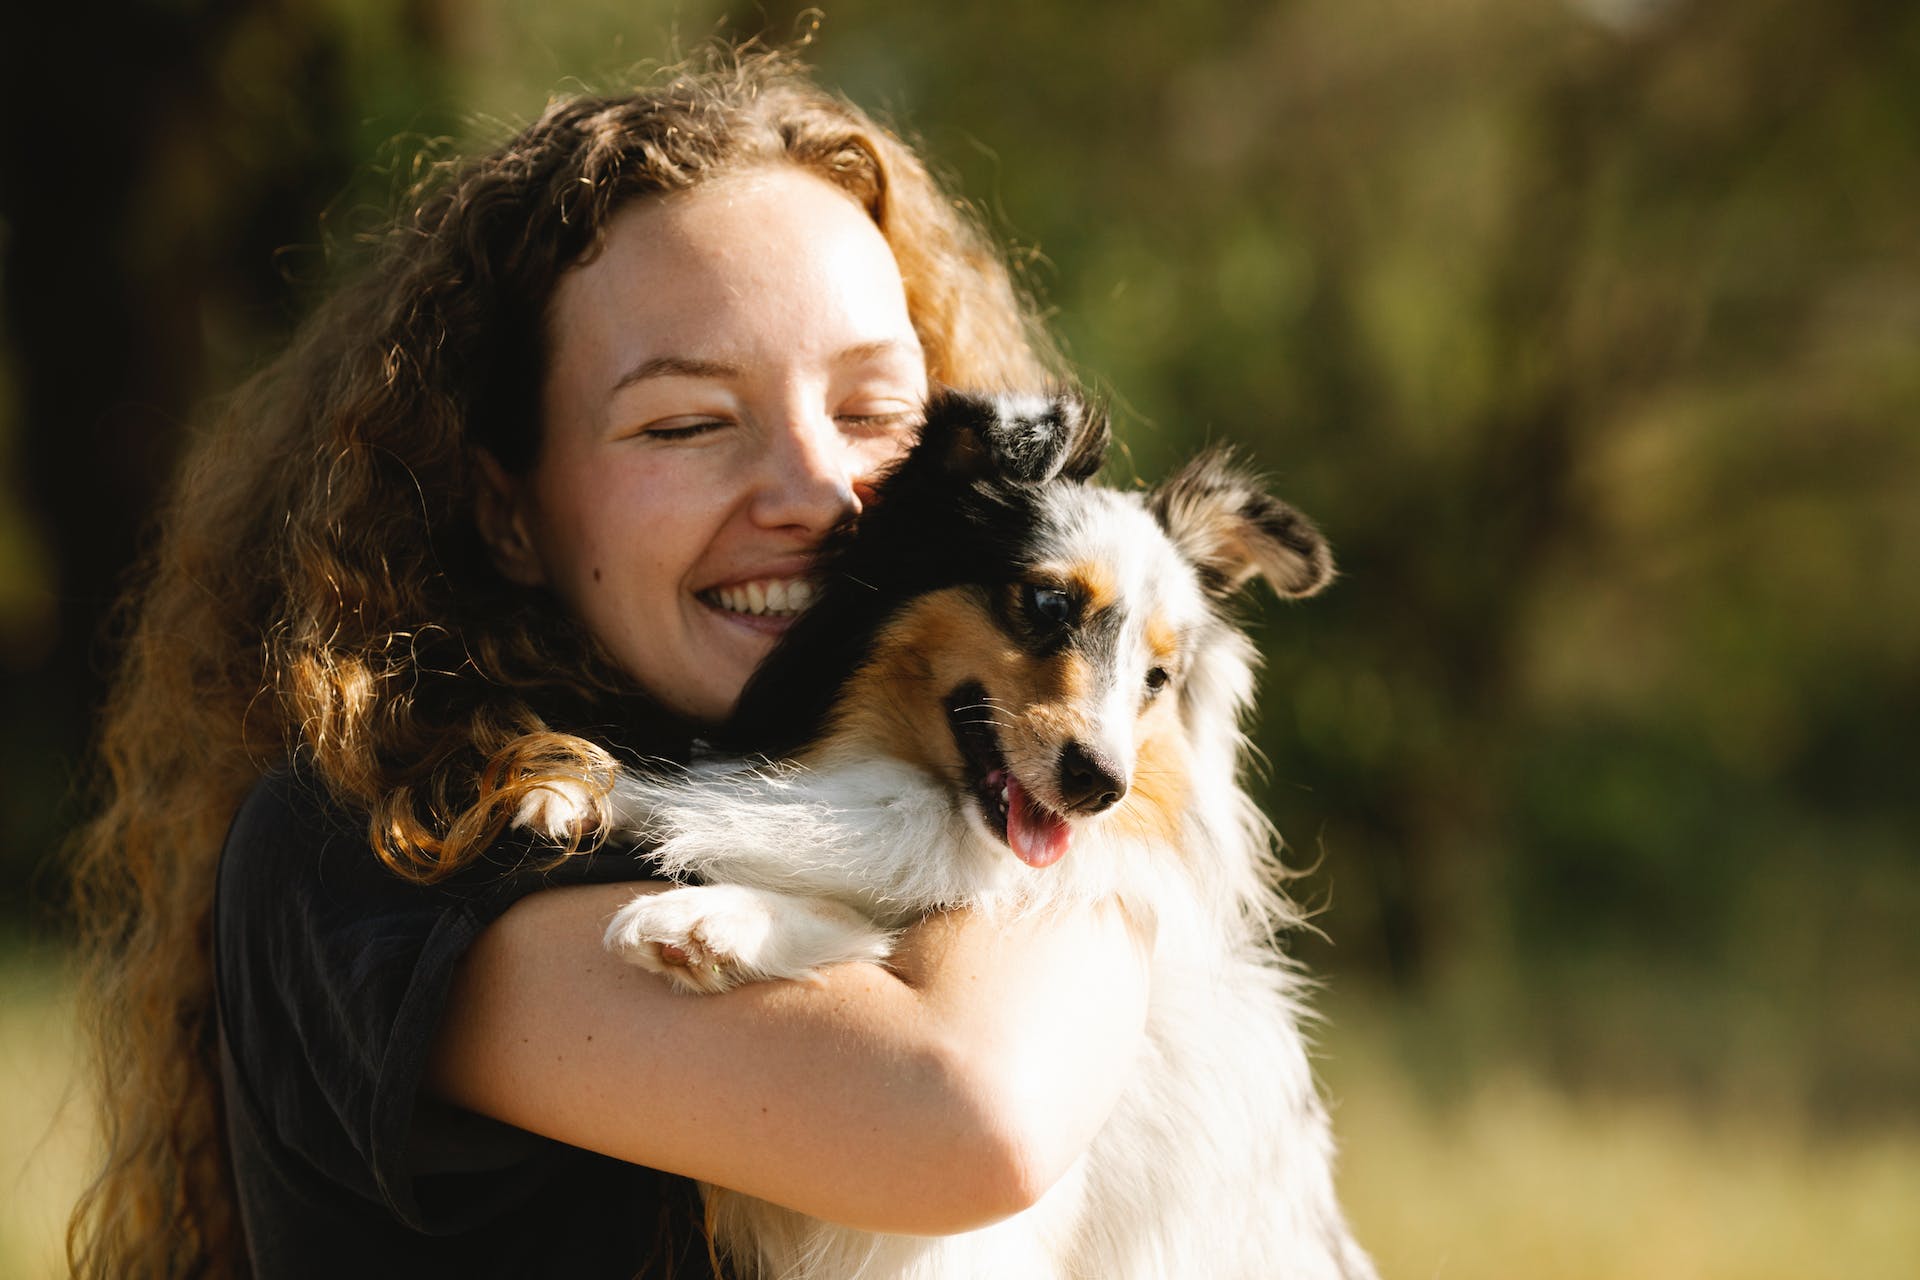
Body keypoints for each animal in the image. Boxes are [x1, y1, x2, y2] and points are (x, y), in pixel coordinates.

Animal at [518, 393, 1374, 1280]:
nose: (1102, 787)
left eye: (1157, 679)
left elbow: (864, 918)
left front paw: (707, 922)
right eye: (1048, 605)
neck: (932, 804)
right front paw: (587, 793)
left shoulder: (943, 1240)